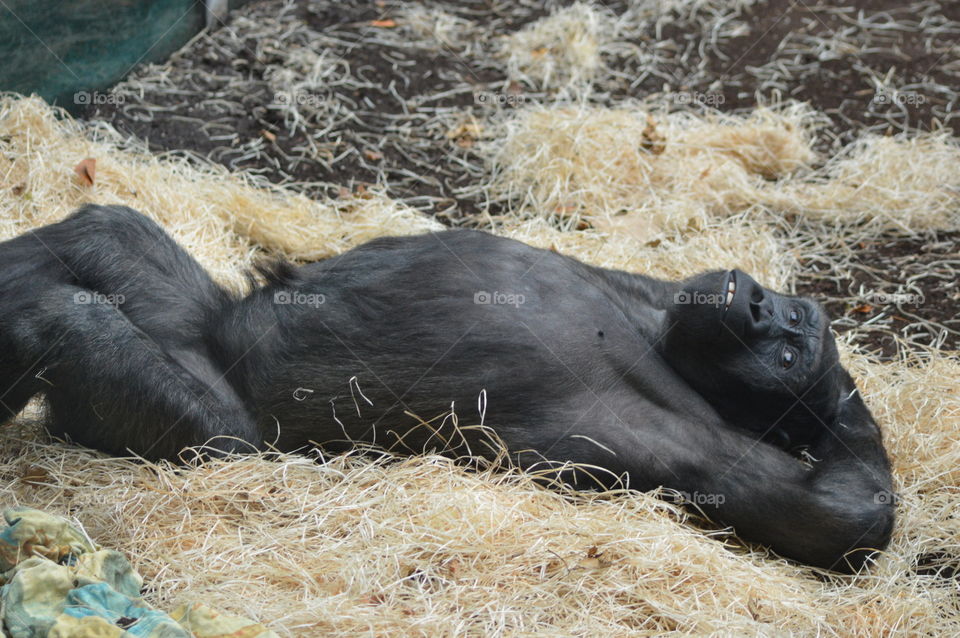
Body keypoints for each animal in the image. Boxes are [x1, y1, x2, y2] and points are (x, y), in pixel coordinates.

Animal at [0, 206, 892, 576]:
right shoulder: (661, 290)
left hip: (214, 427)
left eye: (787, 346)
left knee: (65, 325)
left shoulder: (704, 449)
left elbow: (843, 518)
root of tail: (217, 349)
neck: (656, 339)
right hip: (196, 323)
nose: (762, 306)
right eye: (789, 319)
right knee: (104, 232)